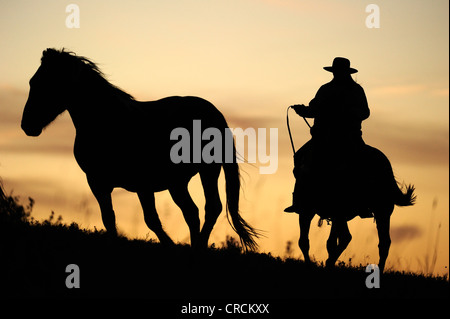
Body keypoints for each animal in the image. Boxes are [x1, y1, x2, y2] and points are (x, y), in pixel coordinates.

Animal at [21, 48, 258, 251]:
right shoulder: (98, 183)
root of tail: (214, 112)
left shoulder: (143, 183)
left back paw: (198, 246)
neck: (107, 122)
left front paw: (170, 246)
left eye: (47, 83)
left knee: (208, 209)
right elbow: (109, 219)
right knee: (194, 211)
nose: (27, 125)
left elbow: (151, 219)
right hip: (178, 182)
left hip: (206, 171)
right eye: (33, 82)